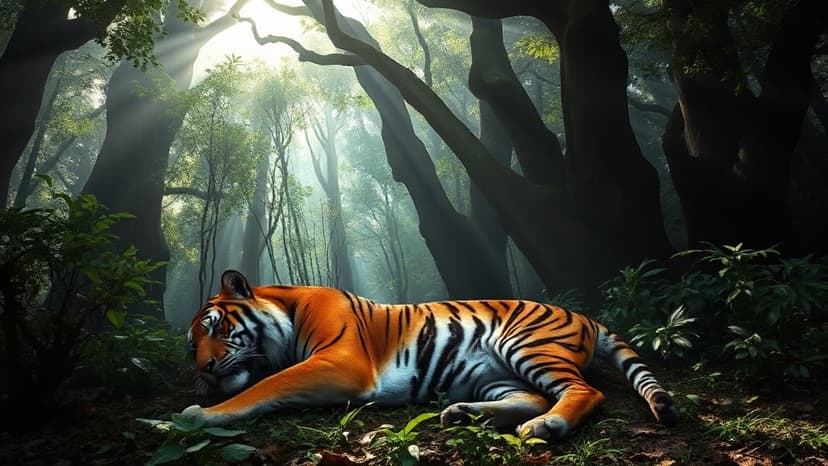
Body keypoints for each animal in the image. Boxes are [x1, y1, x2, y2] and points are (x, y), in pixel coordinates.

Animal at [181, 270, 677, 439]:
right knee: (532, 397)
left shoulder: (342, 363)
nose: (205, 368)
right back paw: (461, 414)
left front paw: (200, 416)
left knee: (585, 392)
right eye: (192, 345)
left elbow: (267, 385)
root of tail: (583, 314)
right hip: (492, 373)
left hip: (525, 344)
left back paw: (546, 426)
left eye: (217, 327)